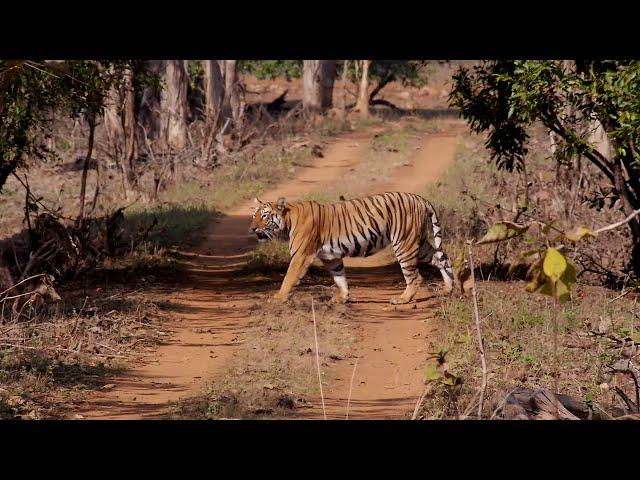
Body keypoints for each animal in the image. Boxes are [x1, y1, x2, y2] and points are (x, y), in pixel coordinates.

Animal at [250, 191, 456, 304]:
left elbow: (289, 277)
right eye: (254, 215)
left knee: (415, 277)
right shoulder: (331, 257)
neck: (288, 220)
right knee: (442, 259)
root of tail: (421, 199)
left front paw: (278, 298)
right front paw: (343, 298)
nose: (252, 228)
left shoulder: (301, 255)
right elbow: (339, 277)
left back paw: (402, 299)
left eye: (265, 216)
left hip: (404, 243)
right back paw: (448, 288)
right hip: (419, 243)